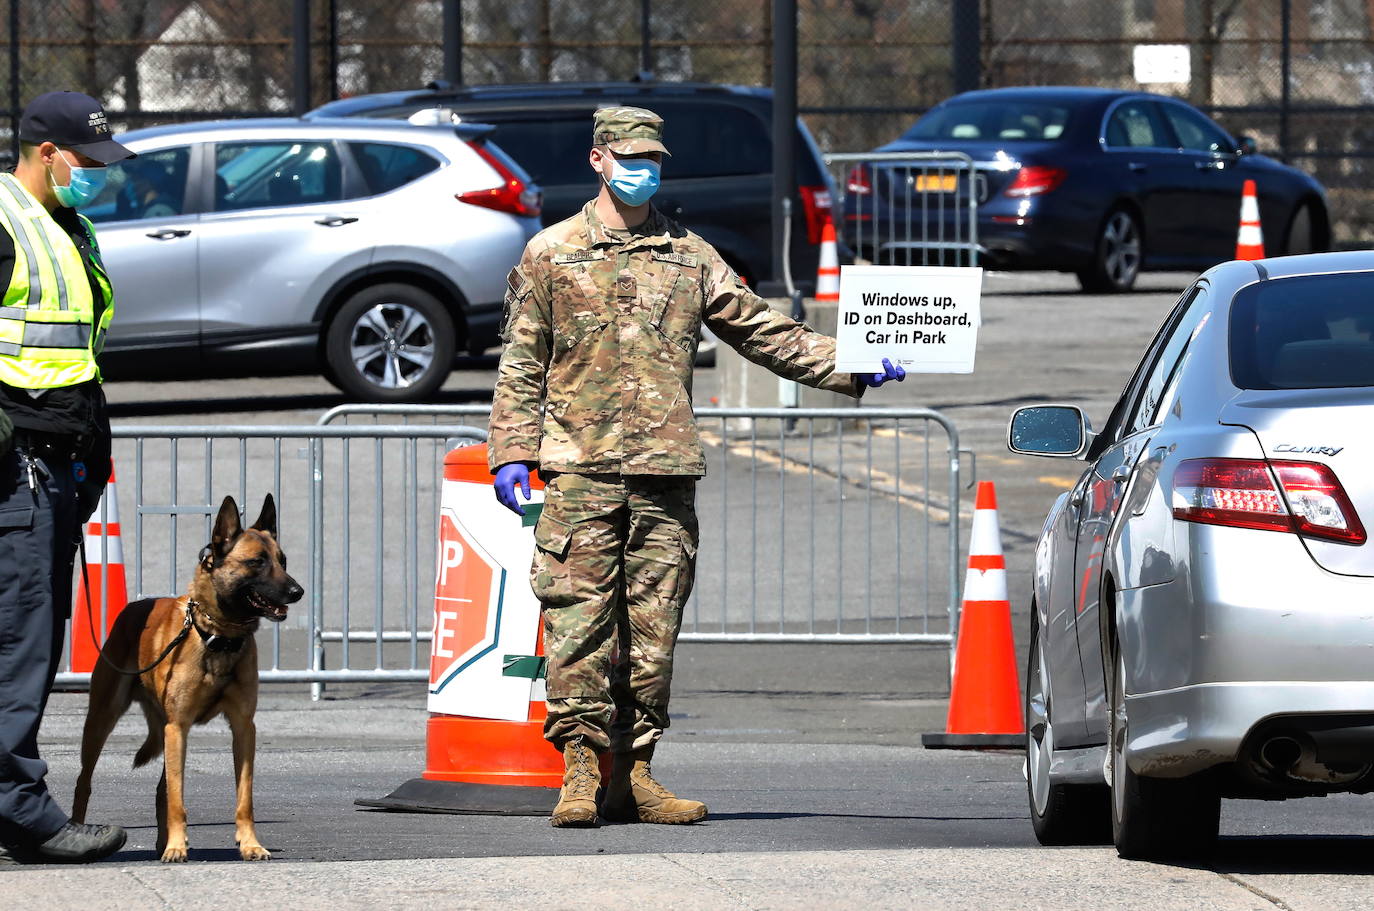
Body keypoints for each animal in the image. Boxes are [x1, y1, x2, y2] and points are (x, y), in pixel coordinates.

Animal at [70, 494, 303, 868]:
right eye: (256, 562)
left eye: (283, 561)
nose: (298, 591)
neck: (218, 636)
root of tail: (134, 608)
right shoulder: (178, 726)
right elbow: (179, 798)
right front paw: (178, 847)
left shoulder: (243, 728)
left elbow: (244, 797)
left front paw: (250, 845)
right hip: (103, 721)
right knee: (85, 781)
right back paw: (82, 830)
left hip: (164, 733)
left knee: (161, 789)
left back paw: (161, 842)